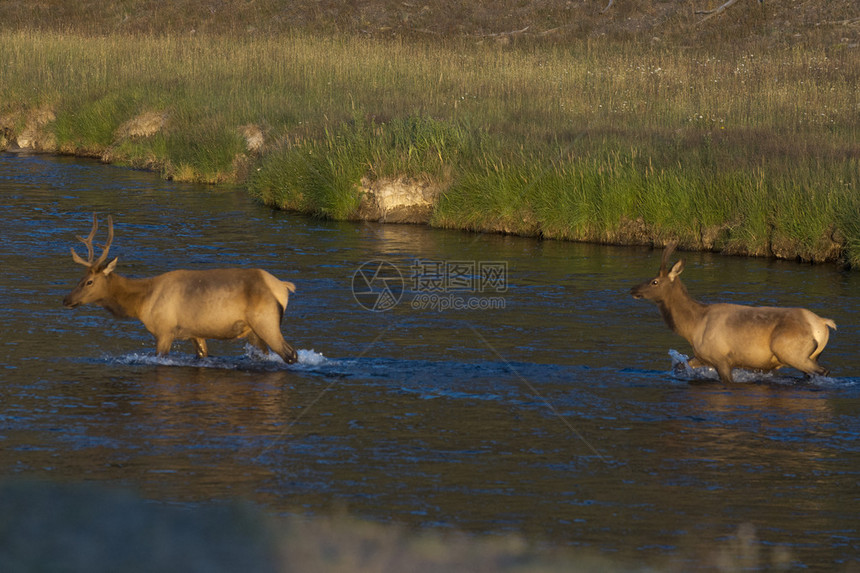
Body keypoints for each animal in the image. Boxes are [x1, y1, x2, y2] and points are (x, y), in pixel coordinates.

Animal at [63, 214, 298, 362]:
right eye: (81, 277)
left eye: (89, 281)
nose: (66, 299)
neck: (141, 302)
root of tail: (284, 287)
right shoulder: (196, 333)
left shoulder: (164, 331)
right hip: (254, 331)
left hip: (266, 321)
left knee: (291, 354)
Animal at [628, 242, 836, 382]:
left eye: (654, 281)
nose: (633, 289)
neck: (693, 326)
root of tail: (823, 324)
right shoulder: (703, 356)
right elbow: (679, 366)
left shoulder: (721, 358)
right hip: (811, 355)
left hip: (791, 352)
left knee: (823, 371)